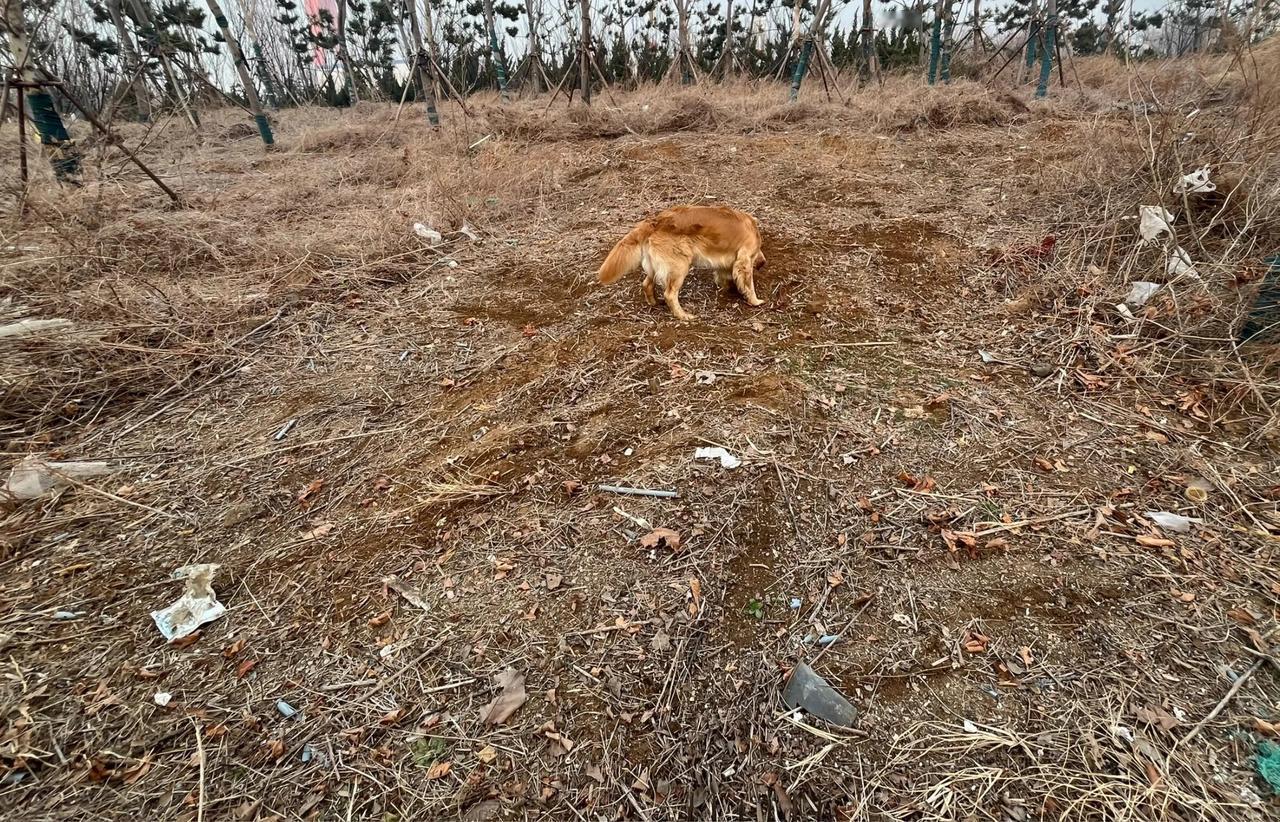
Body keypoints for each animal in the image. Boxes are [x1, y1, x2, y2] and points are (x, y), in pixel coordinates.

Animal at [596, 204, 762, 320]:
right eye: (756, 254)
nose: (762, 264)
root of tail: (655, 221)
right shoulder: (745, 259)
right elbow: (749, 284)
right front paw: (755, 301)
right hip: (679, 267)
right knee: (669, 294)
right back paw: (683, 316)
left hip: (655, 266)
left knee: (647, 284)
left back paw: (654, 303)